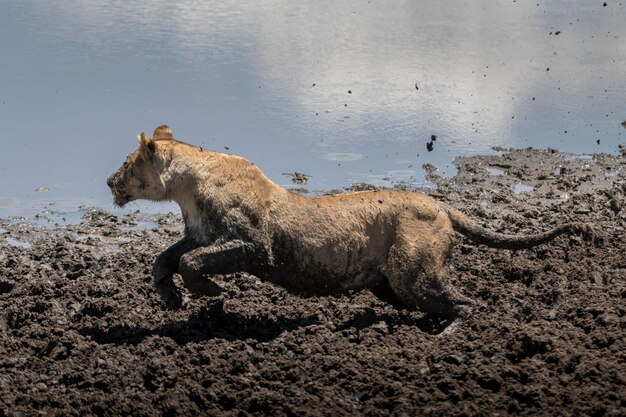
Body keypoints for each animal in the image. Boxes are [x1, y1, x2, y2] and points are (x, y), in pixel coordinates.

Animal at [108, 125, 596, 316]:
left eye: (128, 162)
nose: (110, 180)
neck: (187, 189)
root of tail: (441, 205)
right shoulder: (199, 234)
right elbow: (165, 258)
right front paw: (172, 297)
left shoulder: (254, 245)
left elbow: (192, 263)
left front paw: (210, 293)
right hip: (391, 283)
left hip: (414, 273)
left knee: (464, 303)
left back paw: (450, 332)